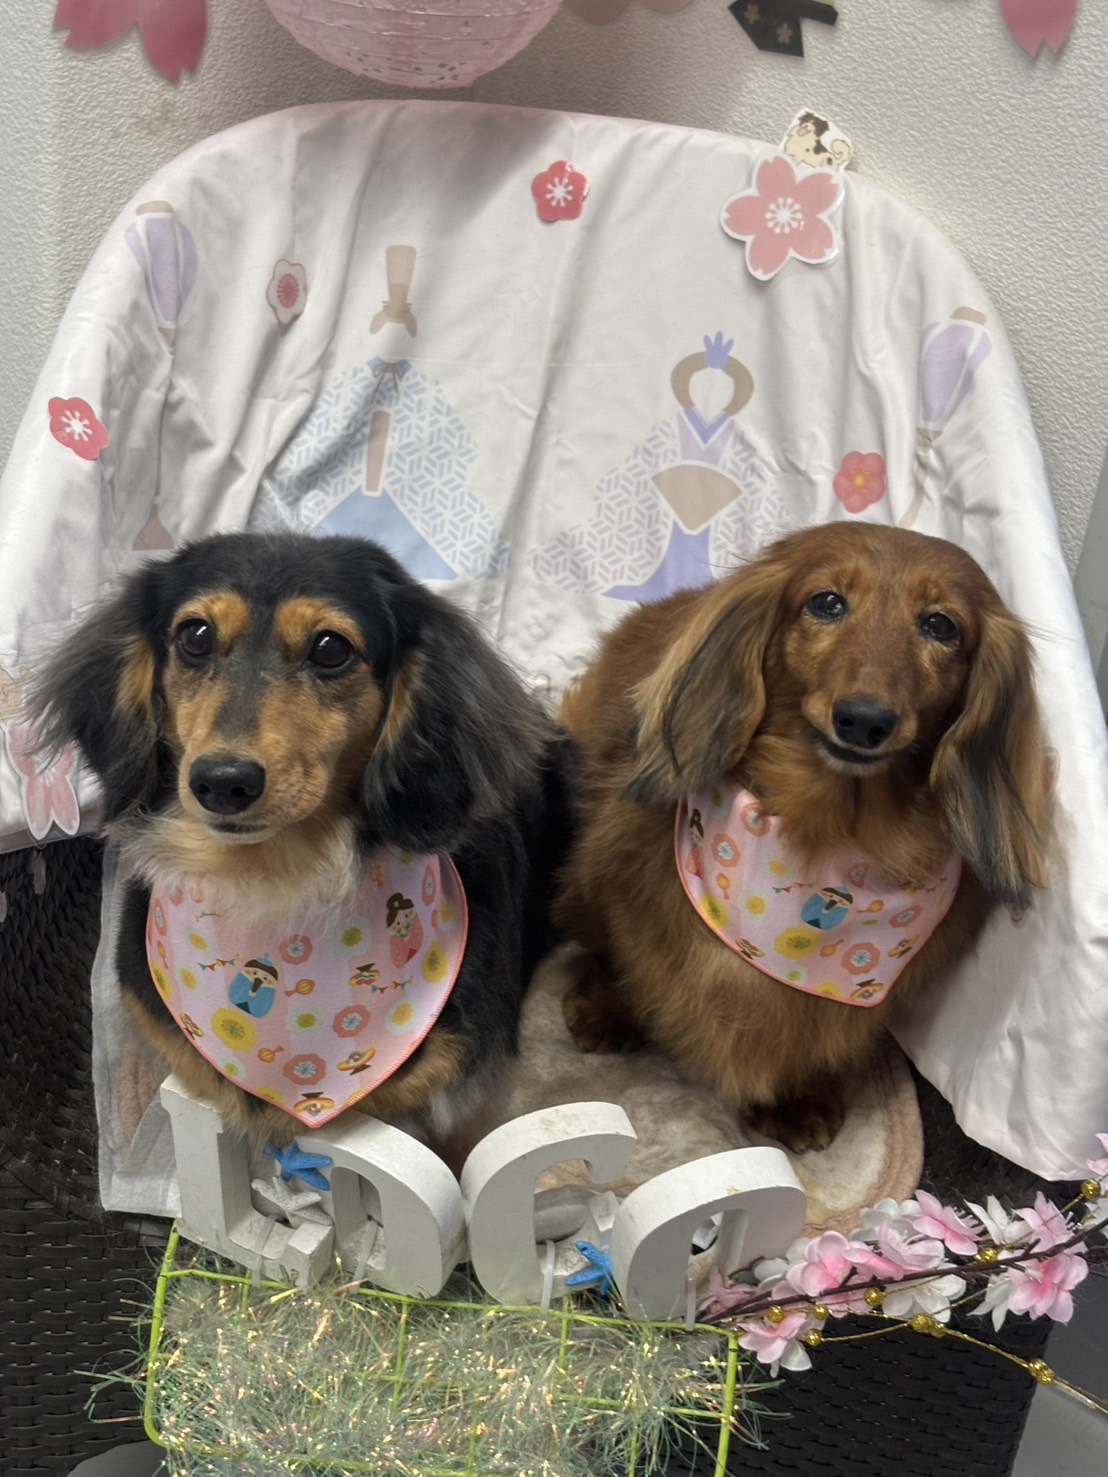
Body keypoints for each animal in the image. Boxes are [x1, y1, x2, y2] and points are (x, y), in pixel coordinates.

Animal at [557, 522, 1049, 1153]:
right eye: (827, 602)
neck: (832, 832)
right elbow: (623, 957)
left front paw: (793, 1098)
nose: (864, 720)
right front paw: (608, 1007)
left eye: (941, 625)